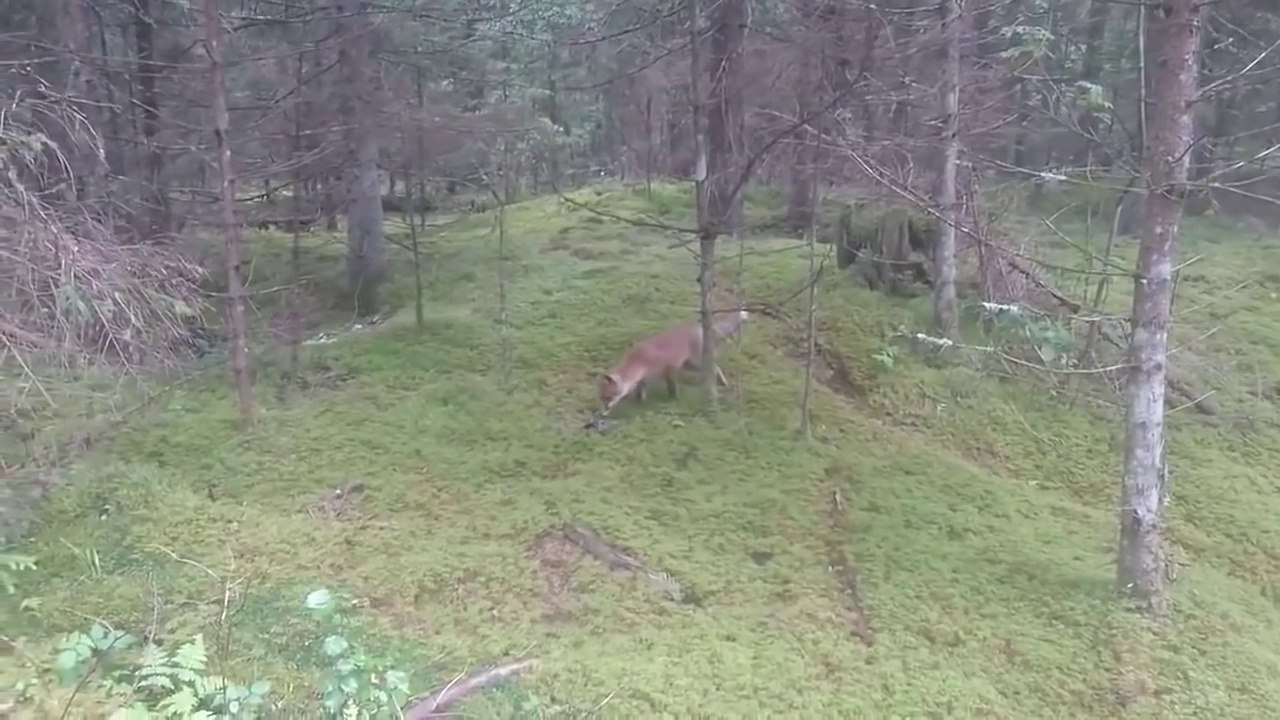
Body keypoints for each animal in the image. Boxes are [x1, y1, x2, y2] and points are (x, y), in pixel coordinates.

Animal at [597, 309, 749, 413]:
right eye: (602, 397)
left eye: (608, 397)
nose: (603, 411)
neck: (639, 361)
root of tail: (699, 328)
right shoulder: (644, 378)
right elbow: (641, 389)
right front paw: (640, 402)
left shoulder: (668, 369)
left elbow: (672, 388)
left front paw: (673, 400)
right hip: (689, 365)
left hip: (695, 363)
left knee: (714, 367)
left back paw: (722, 382)